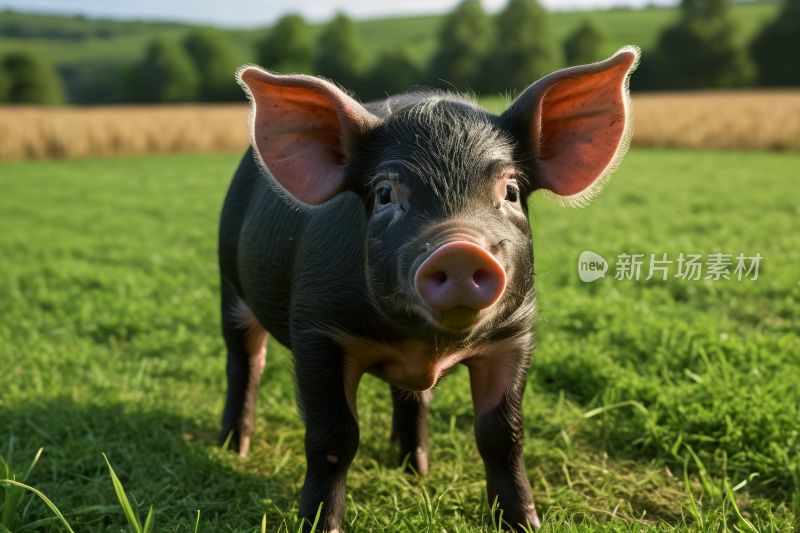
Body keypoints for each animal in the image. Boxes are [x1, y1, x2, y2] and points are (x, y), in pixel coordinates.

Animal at [217, 46, 636, 532]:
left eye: (511, 191)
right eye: (384, 193)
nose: (459, 250)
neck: (422, 341)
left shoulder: (515, 334)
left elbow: (503, 435)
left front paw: (526, 524)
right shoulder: (316, 328)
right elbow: (332, 438)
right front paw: (321, 526)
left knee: (415, 396)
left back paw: (415, 468)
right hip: (229, 282)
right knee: (245, 360)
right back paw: (233, 448)